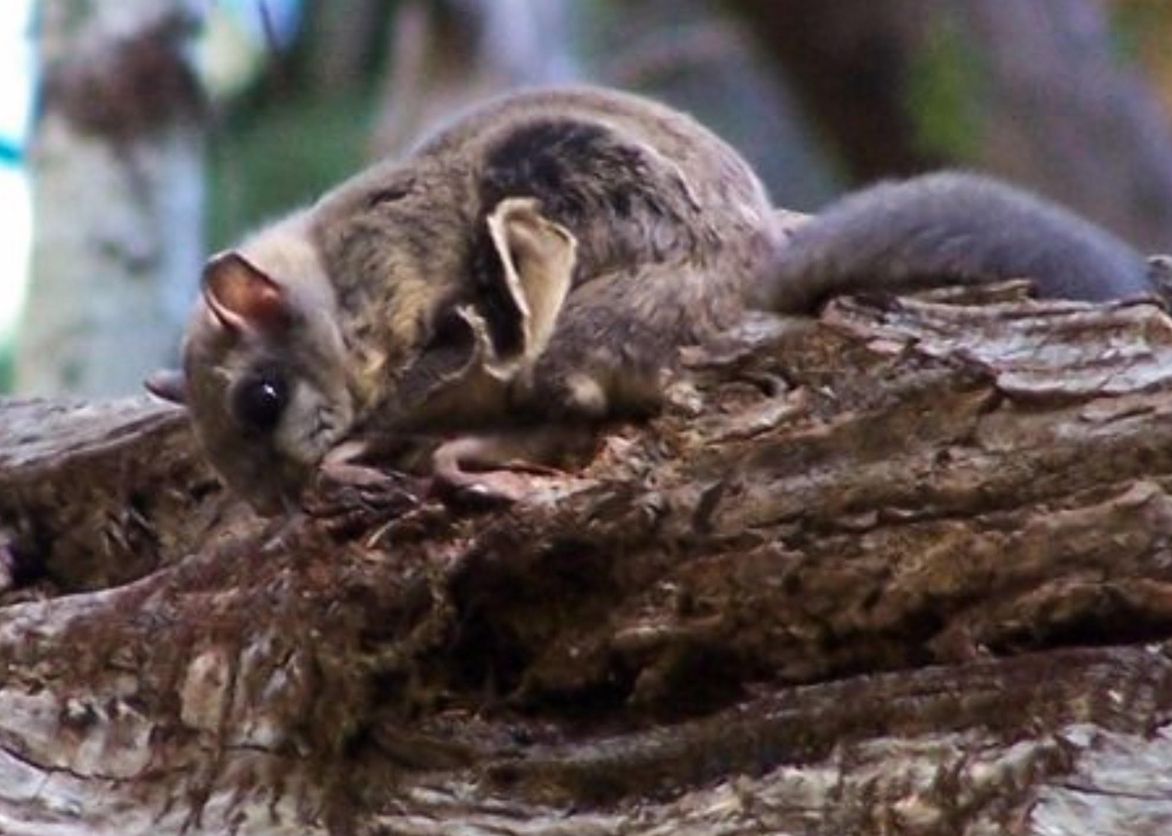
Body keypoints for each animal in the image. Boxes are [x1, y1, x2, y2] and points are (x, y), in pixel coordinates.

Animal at [146, 86, 1172, 515]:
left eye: (260, 398)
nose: (274, 507)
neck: (328, 275)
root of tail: (755, 262)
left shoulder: (401, 282)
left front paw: (354, 451)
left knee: (575, 407)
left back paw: (470, 452)